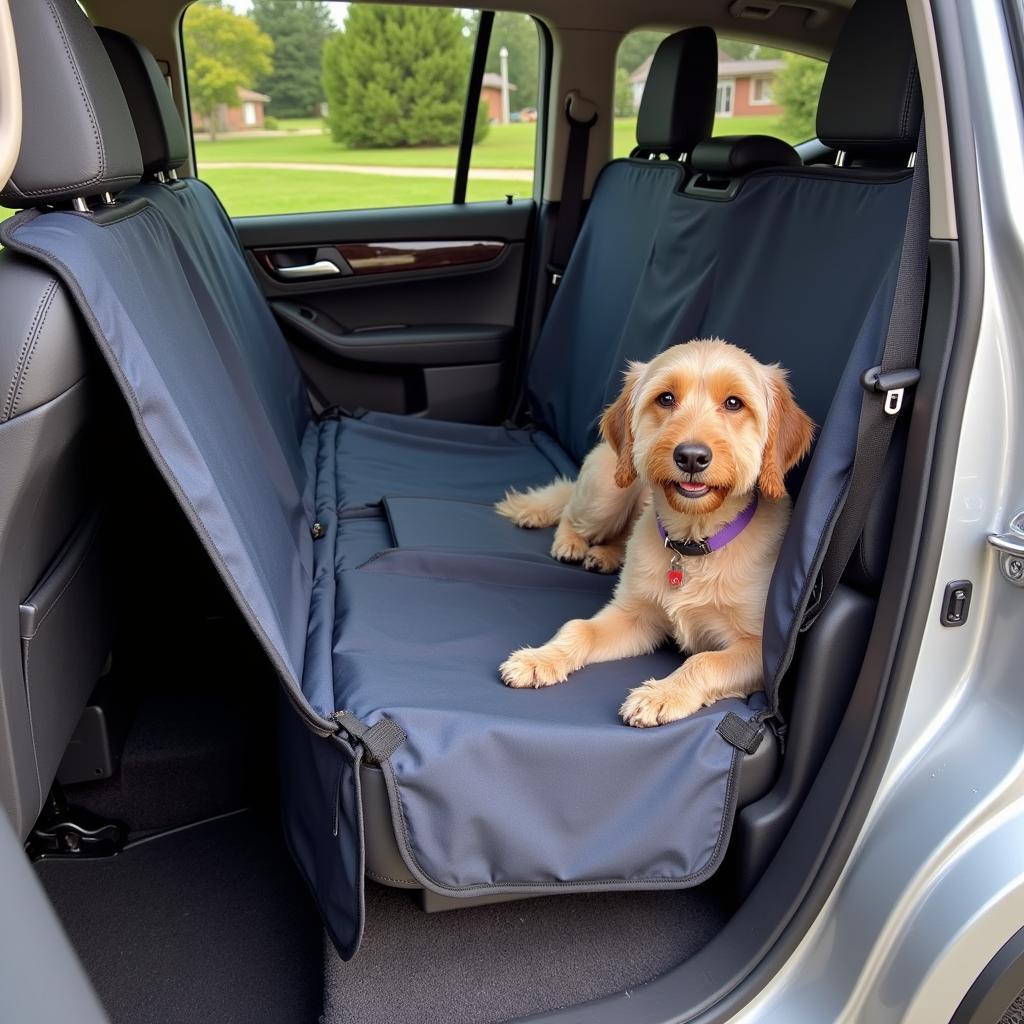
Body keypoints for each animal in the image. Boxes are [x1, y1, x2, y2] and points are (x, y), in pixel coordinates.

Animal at [497, 339, 815, 724]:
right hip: (605, 491)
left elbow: (704, 661)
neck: (693, 542)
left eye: (734, 403)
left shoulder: (759, 651)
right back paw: (571, 543)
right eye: (665, 398)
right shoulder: (634, 616)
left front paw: (662, 694)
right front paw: (540, 658)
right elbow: (579, 627)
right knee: (571, 511)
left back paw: (606, 555)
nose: (691, 456)